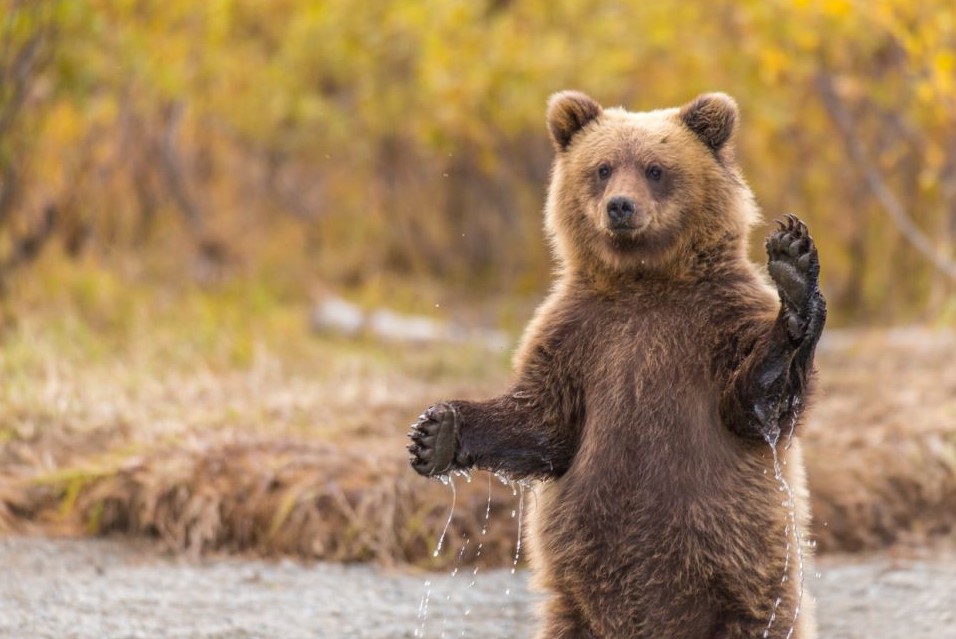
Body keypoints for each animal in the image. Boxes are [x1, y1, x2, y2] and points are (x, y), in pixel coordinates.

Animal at [408, 91, 824, 639]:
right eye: (603, 168)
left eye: (655, 169)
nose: (620, 206)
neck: (642, 281)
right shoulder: (578, 336)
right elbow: (545, 422)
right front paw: (436, 433)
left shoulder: (716, 321)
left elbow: (758, 406)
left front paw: (794, 272)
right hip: (574, 607)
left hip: (751, 592)